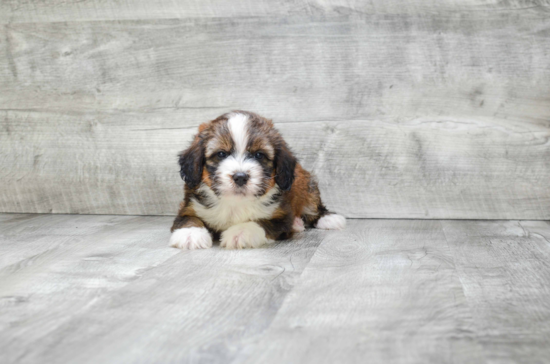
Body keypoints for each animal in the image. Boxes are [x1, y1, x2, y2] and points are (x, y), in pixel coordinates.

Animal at [170, 109, 348, 249]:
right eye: (221, 154)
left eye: (259, 155)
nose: (240, 177)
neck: (235, 203)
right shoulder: (190, 205)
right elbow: (188, 218)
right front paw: (190, 234)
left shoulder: (281, 216)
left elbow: (261, 223)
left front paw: (240, 232)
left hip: (307, 184)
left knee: (313, 205)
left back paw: (327, 218)